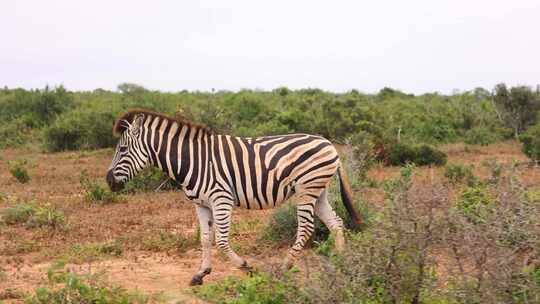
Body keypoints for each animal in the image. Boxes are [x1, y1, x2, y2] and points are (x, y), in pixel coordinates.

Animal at [106, 108, 360, 284]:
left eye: (122, 150)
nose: (109, 181)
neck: (194, 160)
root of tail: (328, 143)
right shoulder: (201, 204)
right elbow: (205, 238)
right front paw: (201, 273)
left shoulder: (221, 199)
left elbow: (220, 240)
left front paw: (246, 267)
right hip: (318, 191)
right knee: (336, 222)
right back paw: (340, 262)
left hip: (307, 189)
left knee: (306, 228)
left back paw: (285, 267)